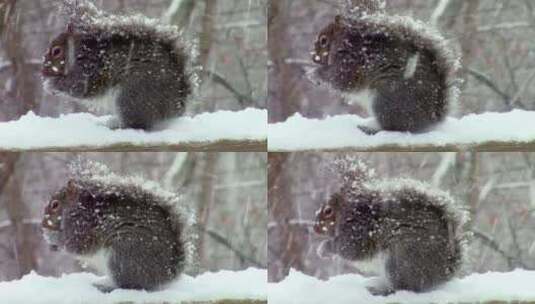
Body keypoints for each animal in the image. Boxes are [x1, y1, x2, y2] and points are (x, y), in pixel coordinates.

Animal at [40, 164, 195, 292]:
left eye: (55, 205)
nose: (42, 223)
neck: (75, 207)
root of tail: (165, 274)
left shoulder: (82, 225)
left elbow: (75, 244)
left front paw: (50, 236)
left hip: (123, 254)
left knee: (129, 285)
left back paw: (106, 287)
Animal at [42, 0, 196, 129]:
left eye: (56, 51)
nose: (43, 71)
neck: (79, 53)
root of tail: (174, 107)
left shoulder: (91, 70)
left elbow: (80, 88)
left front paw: (51, 85)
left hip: (131, 95)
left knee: (136, 125)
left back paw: (114, 125)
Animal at [312, 0, 462, 133]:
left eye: (323, 40)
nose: (313, 57)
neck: (343, 41)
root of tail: (430, 118)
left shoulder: (351, 63)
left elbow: (342, 80)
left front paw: (314, 72)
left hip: (385, 99)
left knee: (393, 128)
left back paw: (371, 129)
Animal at [314, 158, 468, 296]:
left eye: (328, 211)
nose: (315, 228)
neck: (351, 212)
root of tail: (442, 272)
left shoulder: (359, 231)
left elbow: (349, 249)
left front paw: (324, 248)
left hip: (400, 258)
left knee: (402, 287)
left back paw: (380, 290)